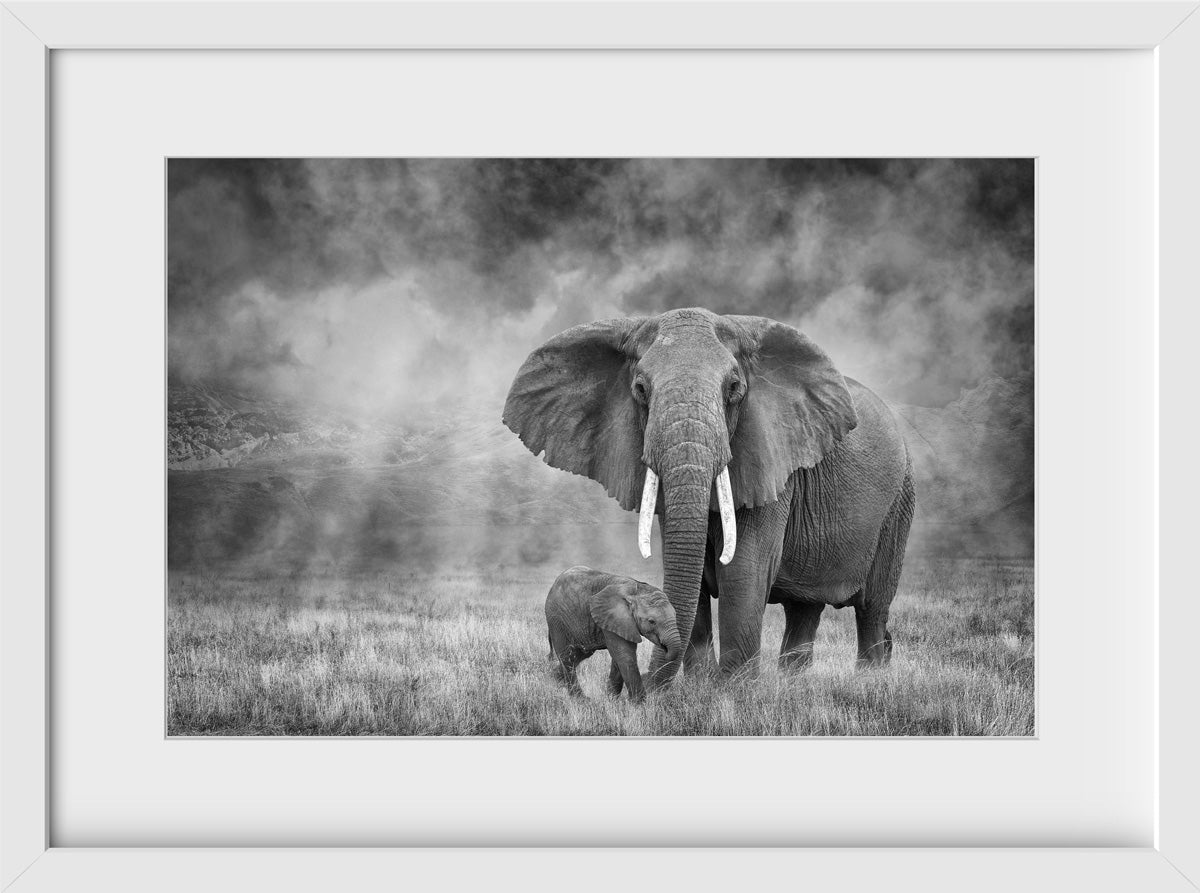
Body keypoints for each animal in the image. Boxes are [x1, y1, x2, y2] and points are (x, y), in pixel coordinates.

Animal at [506, 307, 916, 684]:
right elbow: (690, 572)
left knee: (872, 609)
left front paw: (732, 693)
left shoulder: (772, 459)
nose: (648, 690)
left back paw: (871, 680)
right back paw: (792, 684)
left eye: (733, 388)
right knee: (805, 610)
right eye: (640, 390)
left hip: (898, 505)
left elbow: (743, 572)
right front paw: (700, 689)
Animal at [545, 566, 680, 702]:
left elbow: (618, 657)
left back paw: (554, 679)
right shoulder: (614, 617)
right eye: (651, 621)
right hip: (557, 620)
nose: (665, 647)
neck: (637, 590)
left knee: (579, 654)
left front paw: (611, 700)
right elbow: (625, 655)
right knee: (567, 656)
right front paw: (639, 704)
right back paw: (581, 699)